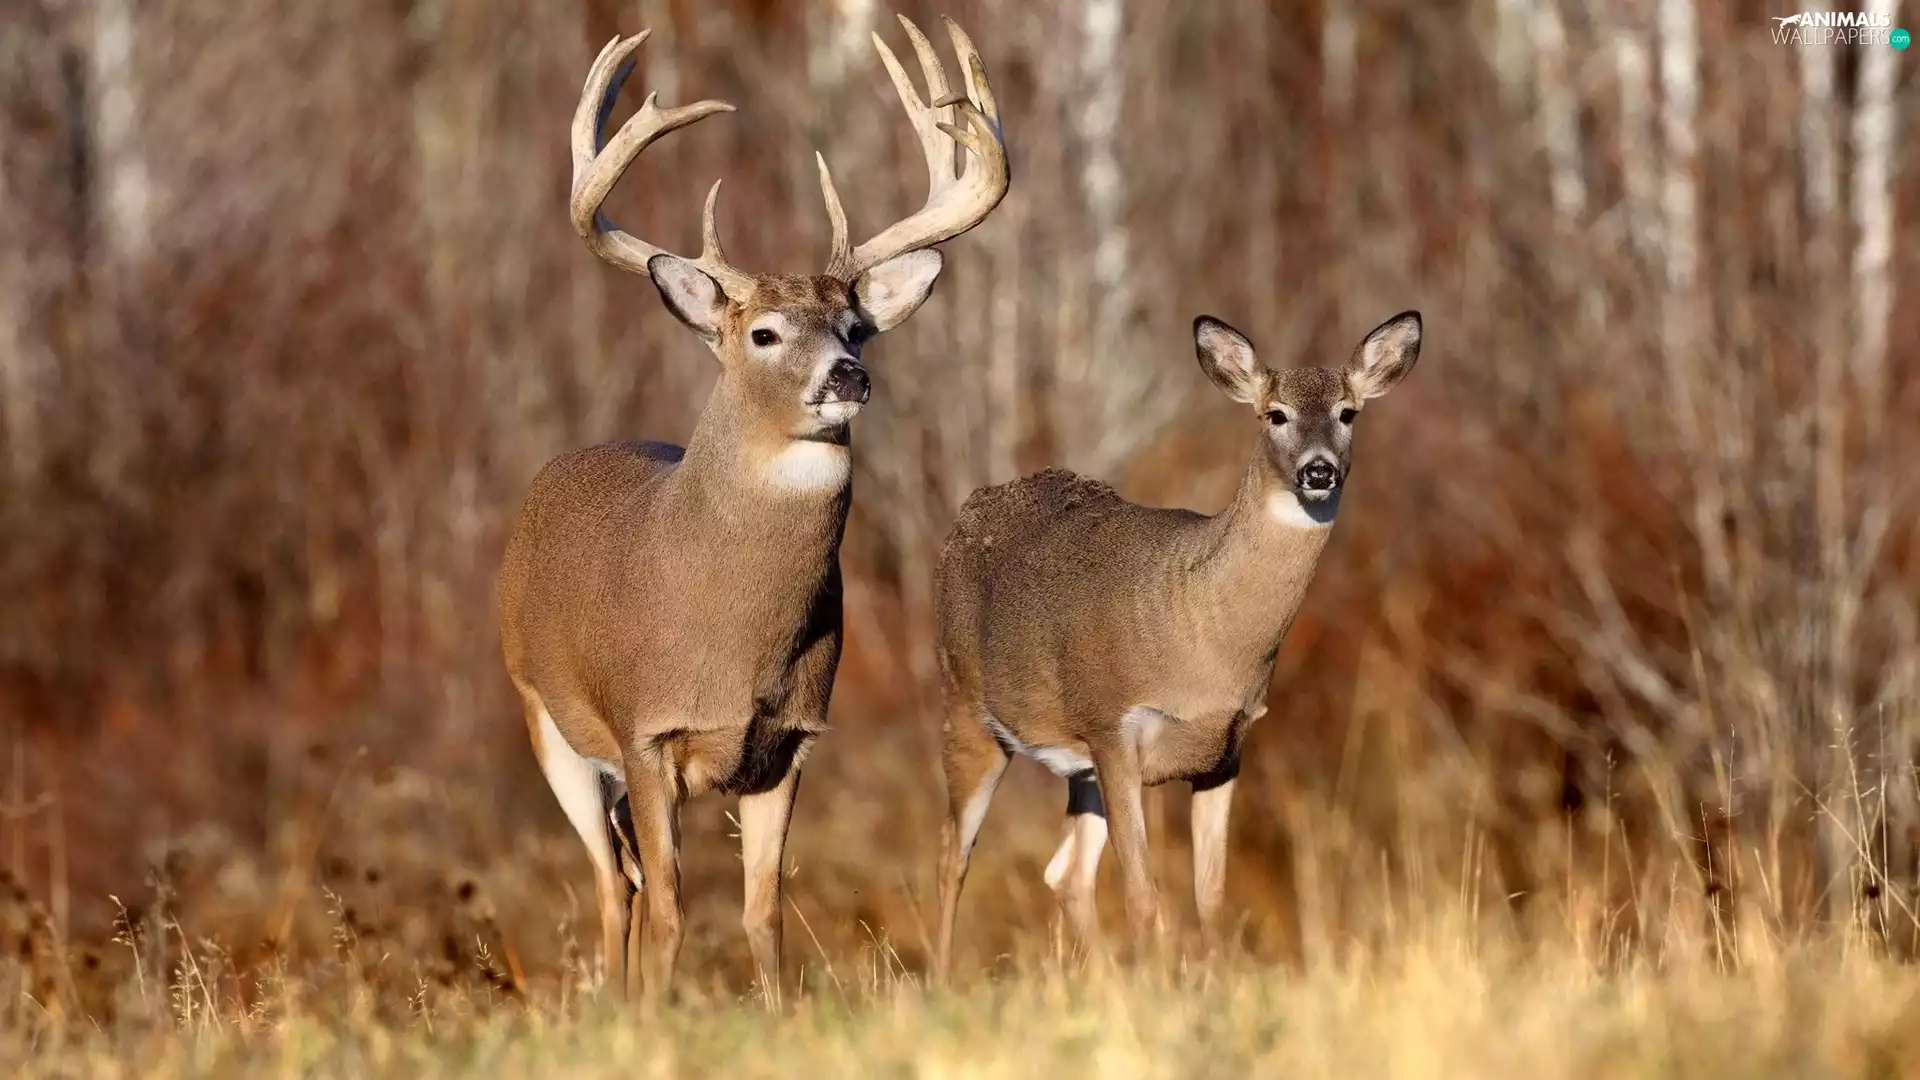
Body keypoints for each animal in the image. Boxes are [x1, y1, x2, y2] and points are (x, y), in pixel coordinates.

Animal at [496, 15, 1008, 1003]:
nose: (847, 377)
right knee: (612, 885)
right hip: (546, 721)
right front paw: (656, 1016)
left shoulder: (790, 741)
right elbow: (670, 909)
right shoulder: (646, 730)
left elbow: (762, 911)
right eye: (764, 334)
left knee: (621, 876)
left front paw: (774, 1014)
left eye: (856, 328)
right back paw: (613, 1005)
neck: (732, 640)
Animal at [929, 310, 1423, 979]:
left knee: (1065, 873)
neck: (1204, 638)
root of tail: (969, 511)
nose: (1318, 470)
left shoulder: (1226, 750)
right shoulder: (1115, 729)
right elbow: (1143, 894)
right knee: (953, 853)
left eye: (1348, 413)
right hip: (967, 706)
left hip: (1078, 766)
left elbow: (1209, 894)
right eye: (1275, 415)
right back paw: (940, 980)